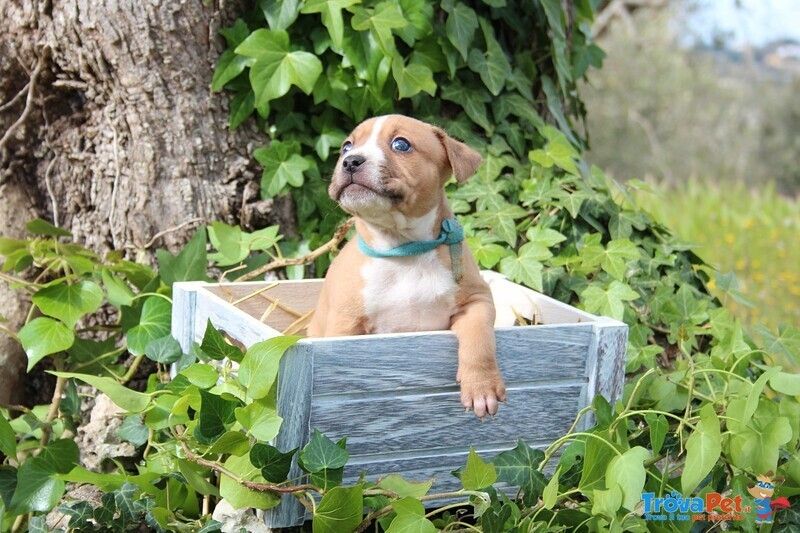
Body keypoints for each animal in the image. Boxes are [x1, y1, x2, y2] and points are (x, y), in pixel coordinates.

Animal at [308, 114, 506, 418]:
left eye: (401, 144)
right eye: (346, 147)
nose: (351, 161)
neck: (403, 249)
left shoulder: (476, 300)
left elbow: (480, 339)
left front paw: (482, 386)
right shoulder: (344, 324)